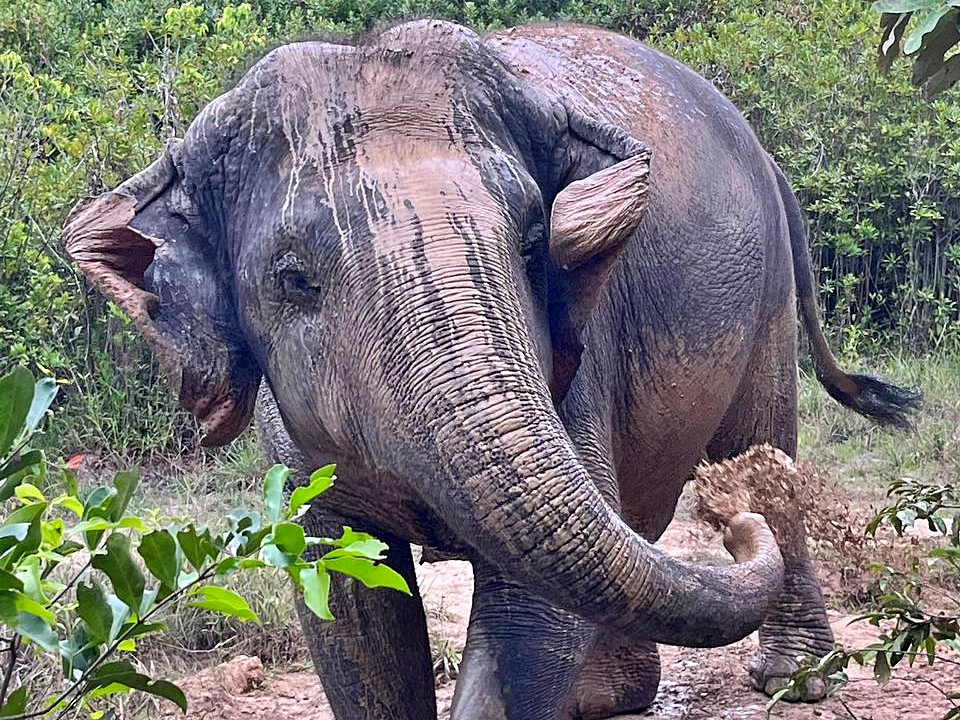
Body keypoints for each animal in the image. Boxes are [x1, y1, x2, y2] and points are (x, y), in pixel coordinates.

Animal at [64, 20, 920, 720]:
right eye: (295, 279)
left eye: (536, 242)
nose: (728, 522)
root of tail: (768, 161)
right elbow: (347, 602)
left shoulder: (574, 352)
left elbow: (528, 612)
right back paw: (609, 694)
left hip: (763, 293)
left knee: (759, 445)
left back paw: (793, 679)